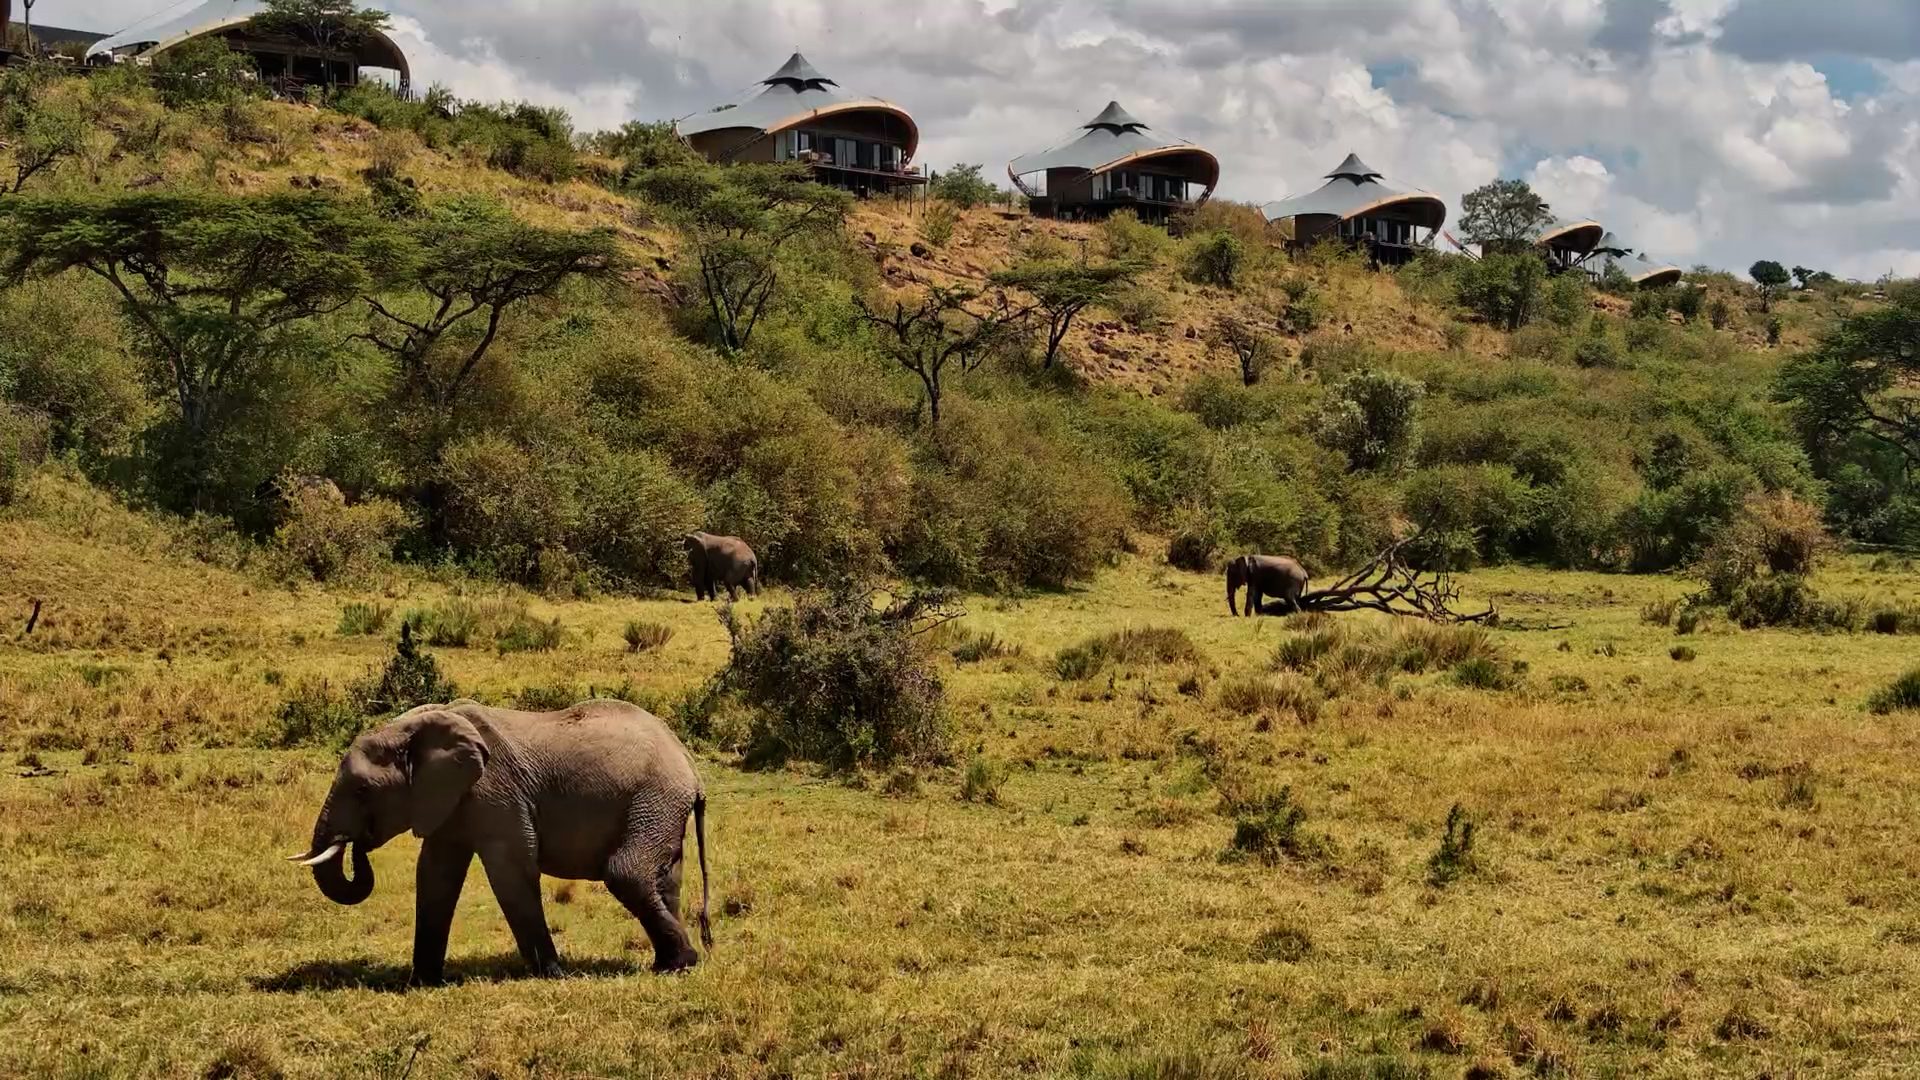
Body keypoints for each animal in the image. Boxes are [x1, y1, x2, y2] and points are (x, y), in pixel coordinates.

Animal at [286, 699, 711, 983]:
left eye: (361, 790)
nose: (356, 843)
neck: (413, 727)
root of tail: (690, 765)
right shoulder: (452, 799)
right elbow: (435, 875)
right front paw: (421, 982)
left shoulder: (495, 792)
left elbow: (511, 870)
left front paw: (554, 975)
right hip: (660, 807)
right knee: (665, 879)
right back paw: (668, 965)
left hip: (654, 799)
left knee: (627, 873)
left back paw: (685, 961)